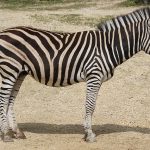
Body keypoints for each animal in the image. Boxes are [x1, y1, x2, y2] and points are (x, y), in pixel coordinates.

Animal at [0, 7, 149, 142]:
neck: (109, 46)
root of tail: (4, 32)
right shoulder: (94, 75)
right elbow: (90, 105)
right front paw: (89, 134)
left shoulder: (98, 78)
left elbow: (92, 105)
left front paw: (87, 133)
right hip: (9, 69)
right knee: (3, 99)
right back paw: (6, 135)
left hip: (19, 72)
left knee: (10, 101)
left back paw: (17, 132)